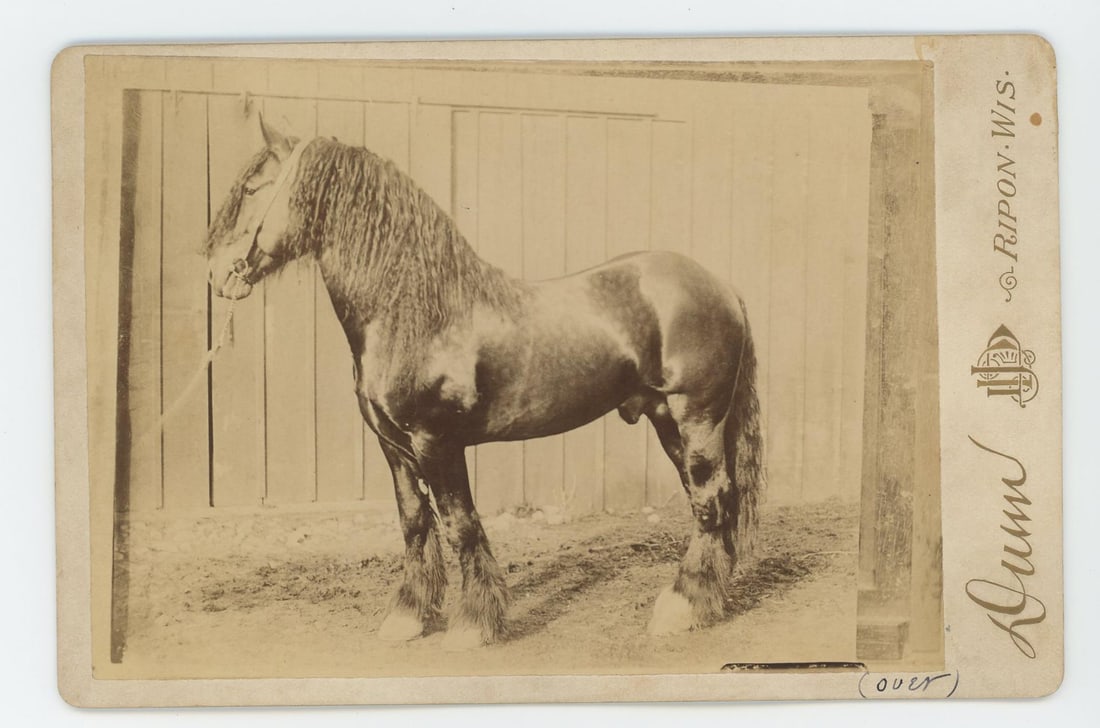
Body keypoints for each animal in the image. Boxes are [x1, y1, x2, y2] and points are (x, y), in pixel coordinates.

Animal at [204, 114, 765, 651]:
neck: (412, 313)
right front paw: (407, 617)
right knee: (710, 501)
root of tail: (722, 286)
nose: (214, 273)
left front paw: (473, 625)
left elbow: (460, 525)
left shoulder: (437, 442)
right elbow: (414, 522)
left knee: (711, 499)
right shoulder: (394, 446)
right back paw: (707, 598)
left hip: (697, 417)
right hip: (666, 420)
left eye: (252, 187)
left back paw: (681, 607)